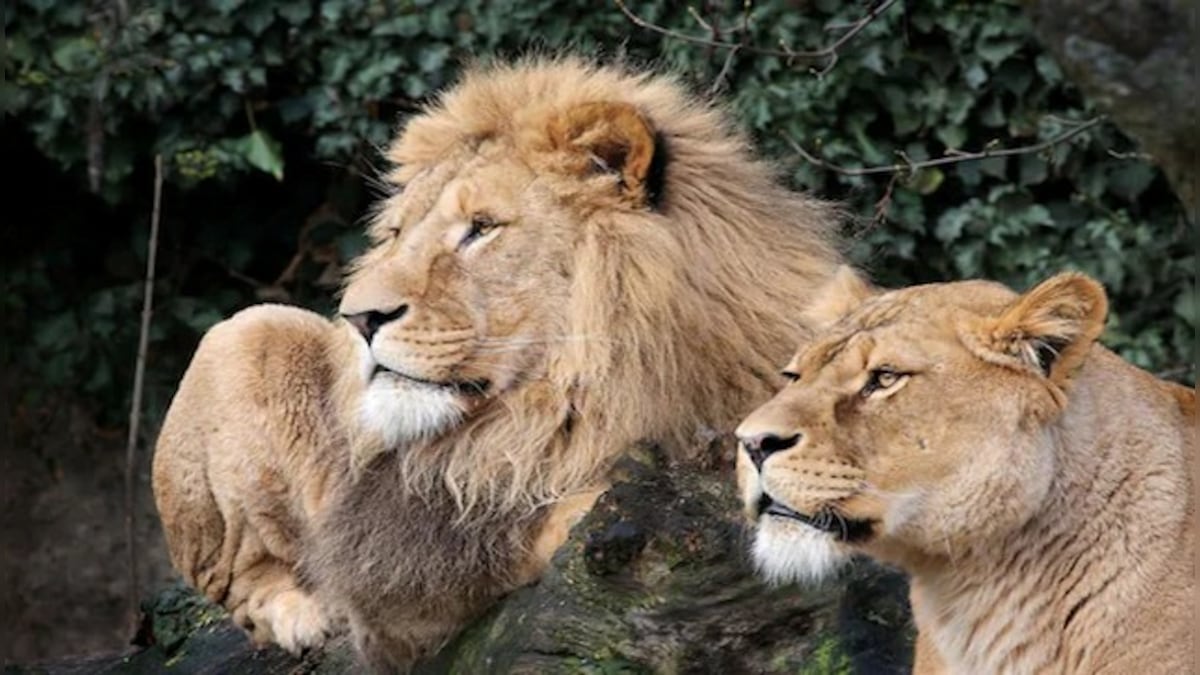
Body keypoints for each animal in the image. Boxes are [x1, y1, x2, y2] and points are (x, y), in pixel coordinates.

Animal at [152, 57, 844, 667]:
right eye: (397, 234)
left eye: (481, 228)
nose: (358, 318)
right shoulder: (409, 577)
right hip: (244, 332)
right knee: (241, 582)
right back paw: (302, 618)